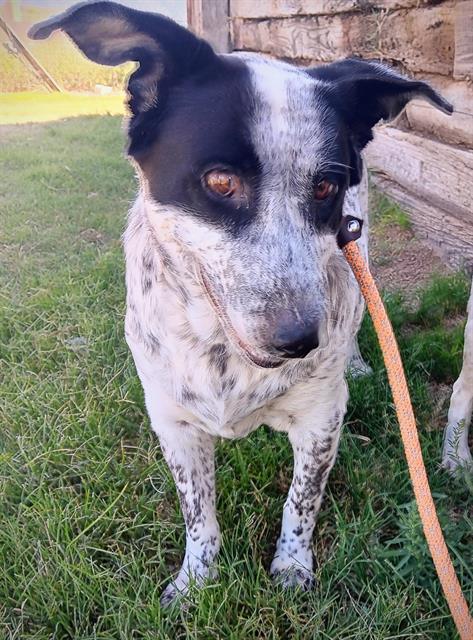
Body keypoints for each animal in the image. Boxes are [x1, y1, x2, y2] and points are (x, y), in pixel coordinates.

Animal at [28, 2, 450, 608]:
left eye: (325, 187)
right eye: (221, 181)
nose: (300, 341)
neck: (222, 352)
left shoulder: (321, 421)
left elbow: (301, 502)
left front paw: (292, 568)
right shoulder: (174, 423)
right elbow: (197, 513)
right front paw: (195, 582)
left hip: (359, 246)